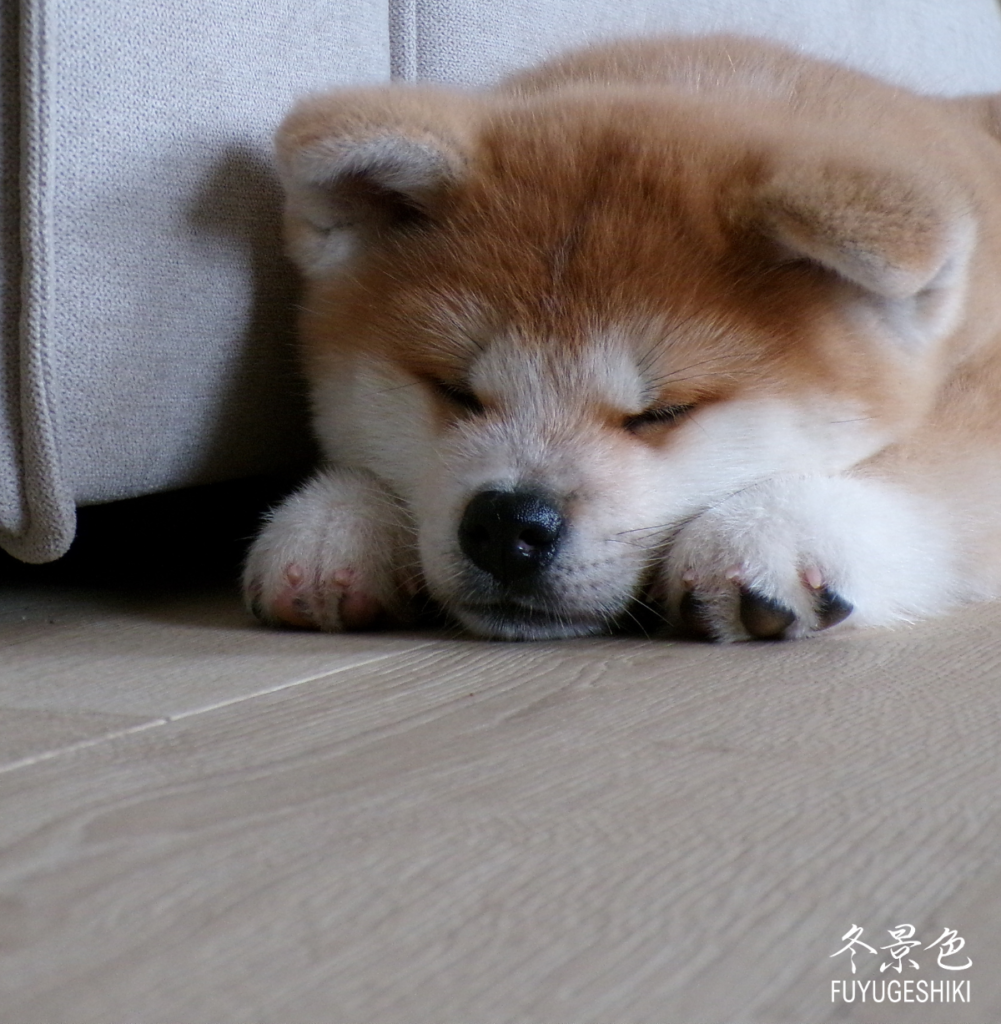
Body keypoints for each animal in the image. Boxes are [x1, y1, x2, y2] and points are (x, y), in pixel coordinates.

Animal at [239, 36, 998, 638]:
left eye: (664, 412)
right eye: (454, 390)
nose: (510, 522)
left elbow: (927, 461)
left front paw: (774, 524)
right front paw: (338, 519)